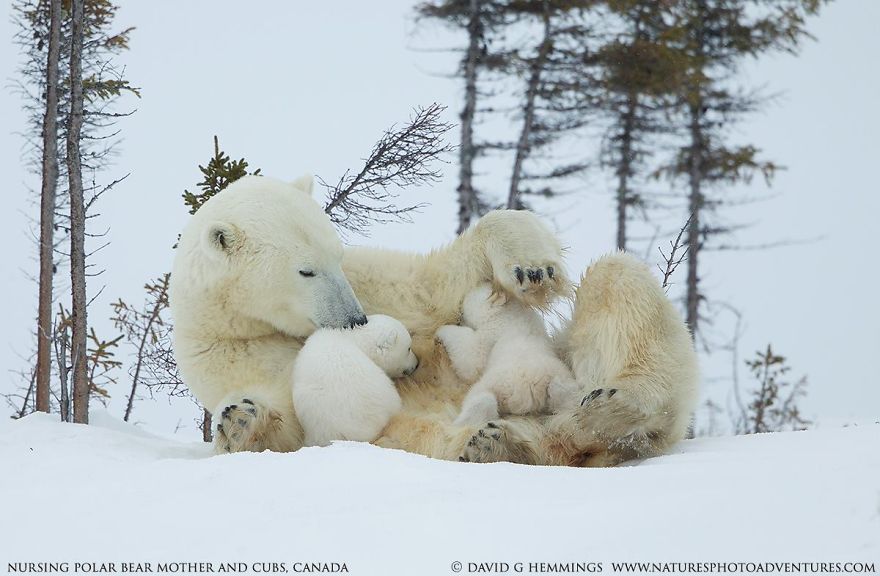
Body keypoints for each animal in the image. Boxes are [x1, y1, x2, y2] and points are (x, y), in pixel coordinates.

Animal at [435, 284, 576, 427]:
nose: (459, 312)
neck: (510, 313)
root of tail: (528, 394)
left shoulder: (492, 332)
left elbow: (473, 358)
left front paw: (441, 331)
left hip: (496, 382)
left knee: (482, 400)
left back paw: (458, 423)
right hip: (557, 378)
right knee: (564, 392)